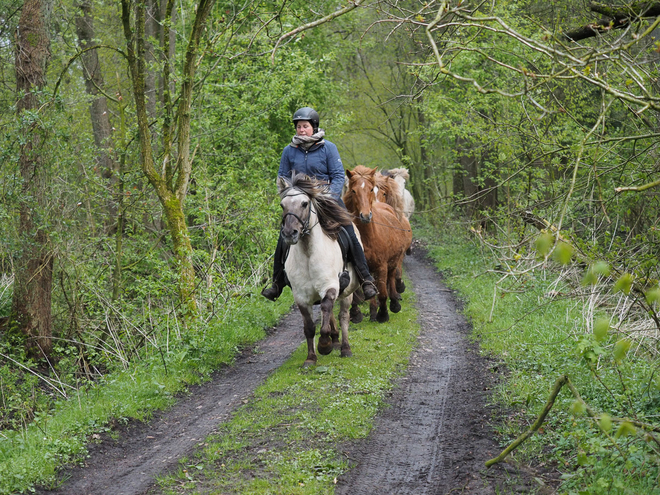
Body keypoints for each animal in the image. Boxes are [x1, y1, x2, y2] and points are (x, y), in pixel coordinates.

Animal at [278, 172, 360, 366]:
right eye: (282, 205)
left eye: (304, 203)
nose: (289, 233)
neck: (309, 254)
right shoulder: (301, 297)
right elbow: (309, 327)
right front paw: (311, 357)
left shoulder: (330, 287)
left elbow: (327, 310)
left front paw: (324, 345)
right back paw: (335, 340)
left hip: (347, 292)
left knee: (343, 316)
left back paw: (345, 348)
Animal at [342, 165, 410, 324]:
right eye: (353, 190)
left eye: (370, 189)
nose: (365, 215)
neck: (368, 238)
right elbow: (360, 292)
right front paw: (359, 313)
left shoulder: (382, 266)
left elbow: (382, 293)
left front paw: (383, 314)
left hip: (392, 261)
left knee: (391, 276)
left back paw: (394, 303)